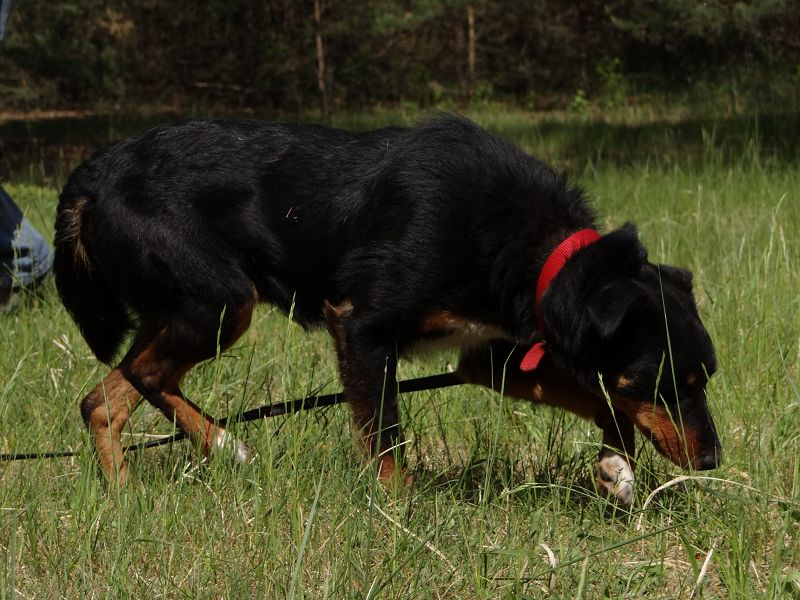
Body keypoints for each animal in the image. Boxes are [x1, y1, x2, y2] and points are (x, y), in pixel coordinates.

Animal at [54, 115, 720, 502]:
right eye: (666, 382)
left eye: (704, 379)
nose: (712, 460)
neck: (536, 251)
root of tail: (90, 175)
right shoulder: (362, 327)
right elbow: (387, 440)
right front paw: (400, 516)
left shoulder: (493, 359)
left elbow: (603, 401)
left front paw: (617, 468)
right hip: (220, 304)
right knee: (144, 375)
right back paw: (217, 447)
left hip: (182, 312)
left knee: (104, 399)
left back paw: (132, 494)